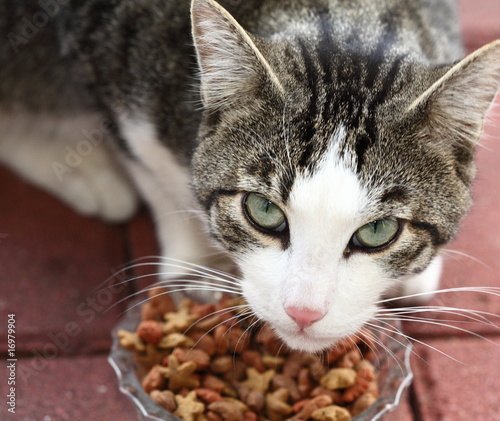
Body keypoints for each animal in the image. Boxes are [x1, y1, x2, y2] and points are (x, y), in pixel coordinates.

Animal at [0, 0, 500, 352]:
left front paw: (418, 274)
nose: (303, 312)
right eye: (262, 210)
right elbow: (154, 174)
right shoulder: (113, 64)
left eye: (379, 231)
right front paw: (195, 267)